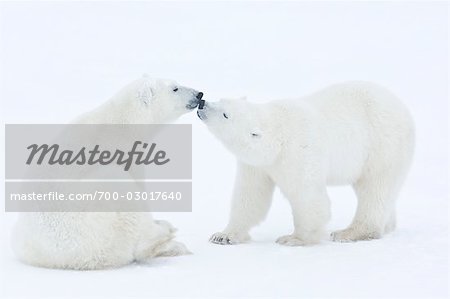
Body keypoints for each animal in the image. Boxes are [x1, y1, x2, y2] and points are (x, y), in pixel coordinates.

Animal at [198, 81, 414, 246]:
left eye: (226, 114)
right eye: (222, 100)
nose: (202, 103)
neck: (278, 137)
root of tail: (403, 108)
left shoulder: (298, 151)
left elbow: (307, 196)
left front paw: (294, 238)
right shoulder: (257, 165)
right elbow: (250, 195)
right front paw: (223, 235)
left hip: (383, 145)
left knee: (375, 188)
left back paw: (349, 232)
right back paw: (387, 225)